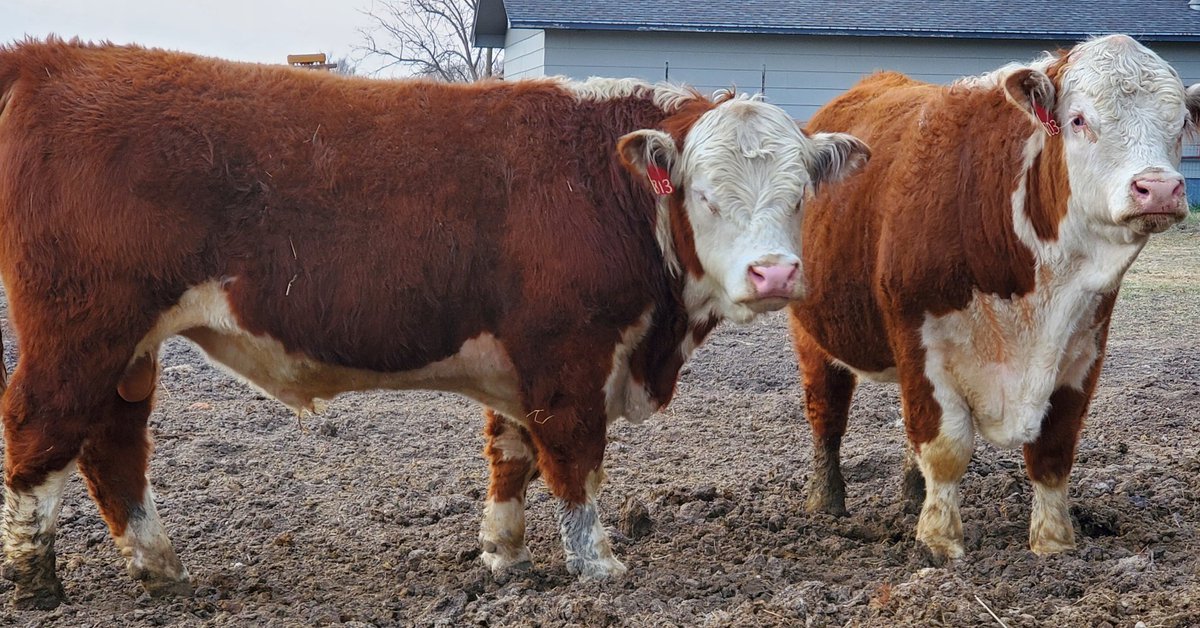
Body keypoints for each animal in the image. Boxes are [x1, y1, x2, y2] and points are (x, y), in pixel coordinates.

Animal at [0, 38, 868, 608]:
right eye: (705, 195)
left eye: (800, 194)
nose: (774, 274)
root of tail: (53, 57)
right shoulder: (569, 355)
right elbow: (575, 462)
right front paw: (597, 568)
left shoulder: (521, 363)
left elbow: (511, 453)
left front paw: (504, 554)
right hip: (81, 329)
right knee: (41, 429)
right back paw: (35, 580)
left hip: (125, 347)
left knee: (112, 443)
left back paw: (161, 568)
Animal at [789, 34, 1199, 563]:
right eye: (1078, 119)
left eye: (1180, 123)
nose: (1160, 188)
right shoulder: (920, 339)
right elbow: (945, 446)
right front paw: (939, 542)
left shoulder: (1082, 348)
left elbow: (1053, 448)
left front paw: (1054, 543)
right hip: (814, 334)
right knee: (828, 413)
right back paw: (826, 502)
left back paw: (911, 497)